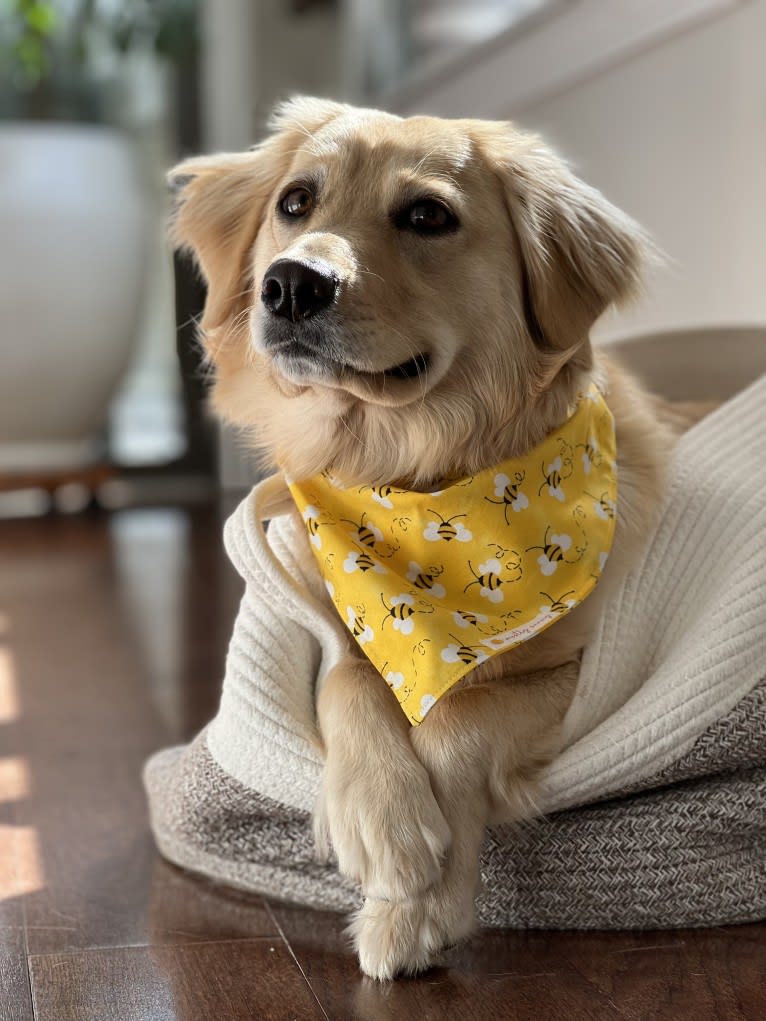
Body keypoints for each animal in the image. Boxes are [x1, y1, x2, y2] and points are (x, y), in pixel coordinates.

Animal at [169, 97, 694, 980]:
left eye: (427, 215)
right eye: (296, 202)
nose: (291, 284)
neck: (414, 482)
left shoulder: (587, 670)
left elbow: (458, 714)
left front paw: (415, 902)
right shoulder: (333, 607)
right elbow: (349, 674)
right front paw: (379, 815)